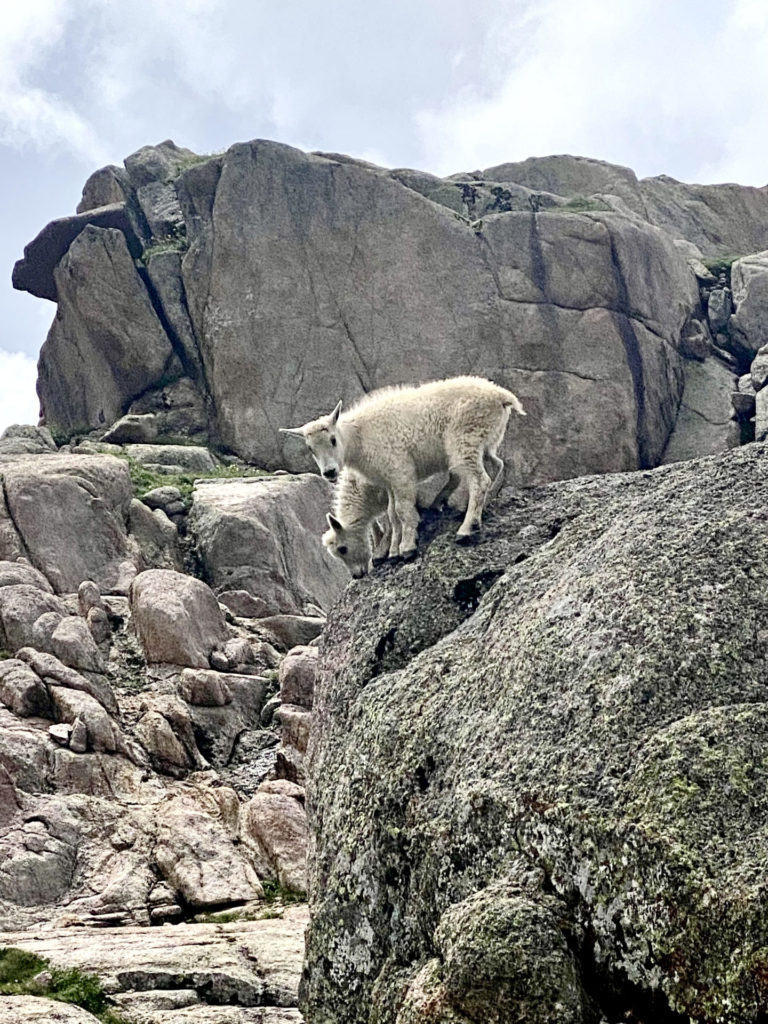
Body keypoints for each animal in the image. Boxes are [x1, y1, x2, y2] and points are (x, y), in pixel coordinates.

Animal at [280, 374, 528, 557]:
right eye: (310, 448)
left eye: (332, 439)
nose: (329, 472)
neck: (359, 438)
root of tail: (501, 396)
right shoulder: (388, 480)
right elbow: (392, 513)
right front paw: (394, 550)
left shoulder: (399, 470)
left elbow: (401, 510)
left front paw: (407, 547)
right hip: (485, 441)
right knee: (496, 466)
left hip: (464, 440)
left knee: (479, 479)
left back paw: (467, 528)